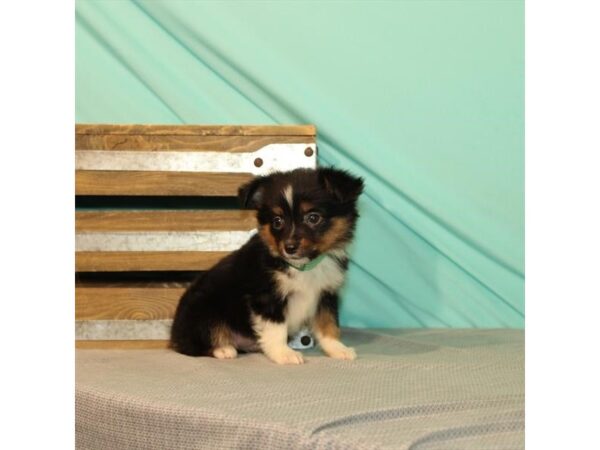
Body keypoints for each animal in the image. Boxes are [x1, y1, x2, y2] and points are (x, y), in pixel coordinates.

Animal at [171, 167, 364, 364]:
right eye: (277, 221)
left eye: (313, 218)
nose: (289, 247)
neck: (303, 266)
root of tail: (173, 333)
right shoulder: (266, 297)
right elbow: (276, 328)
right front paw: (284, 354)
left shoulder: (326, 294)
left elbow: (328, 324)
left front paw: (338, 349)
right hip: (204, 309)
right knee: (192, 345)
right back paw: (223, 349)